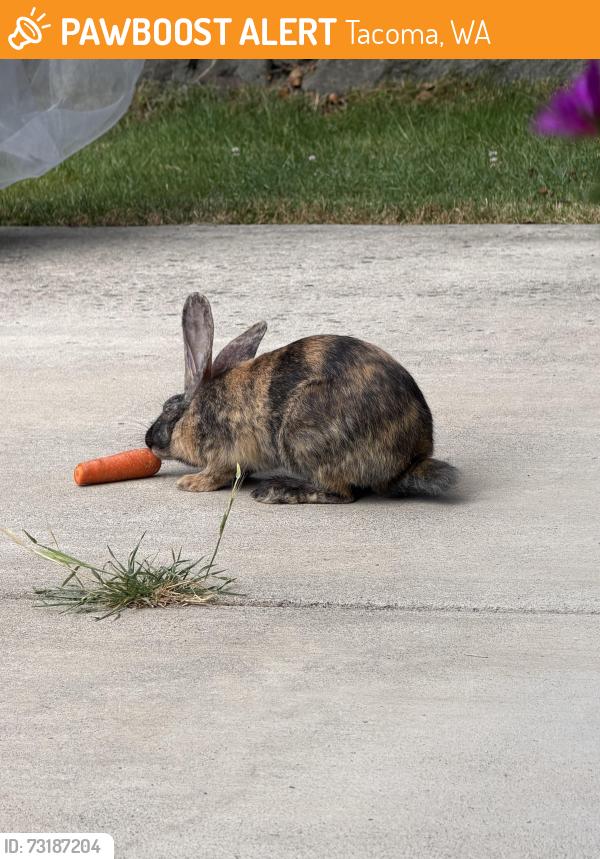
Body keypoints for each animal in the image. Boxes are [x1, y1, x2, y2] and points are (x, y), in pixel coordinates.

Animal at [145, 293, 458, 504]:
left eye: (170, 408)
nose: (149, 441)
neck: (196, 411)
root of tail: (410, 460)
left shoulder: (224, 453)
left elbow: (217, 473)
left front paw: (190, 483)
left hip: (302, 433)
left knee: (341, 492)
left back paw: (275, 491)